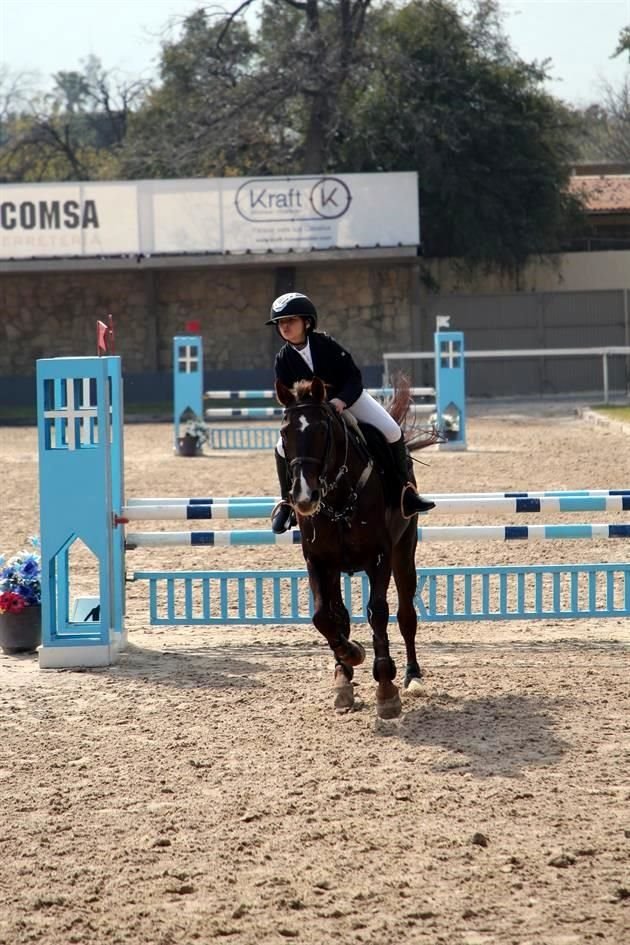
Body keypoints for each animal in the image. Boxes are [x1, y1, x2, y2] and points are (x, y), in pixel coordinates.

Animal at [276, 376, 440, 716]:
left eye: (322, 431)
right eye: (285, 433)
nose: (304, 498)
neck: (338, 497)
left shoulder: (381, 557)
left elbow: (378, 613)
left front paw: (386, 687)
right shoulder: (317, 560)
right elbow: (323, 616)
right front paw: (349, 657)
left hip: (404, 551)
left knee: (406, 616)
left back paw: (413, 676)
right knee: (339, 613)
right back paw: (345, 674)